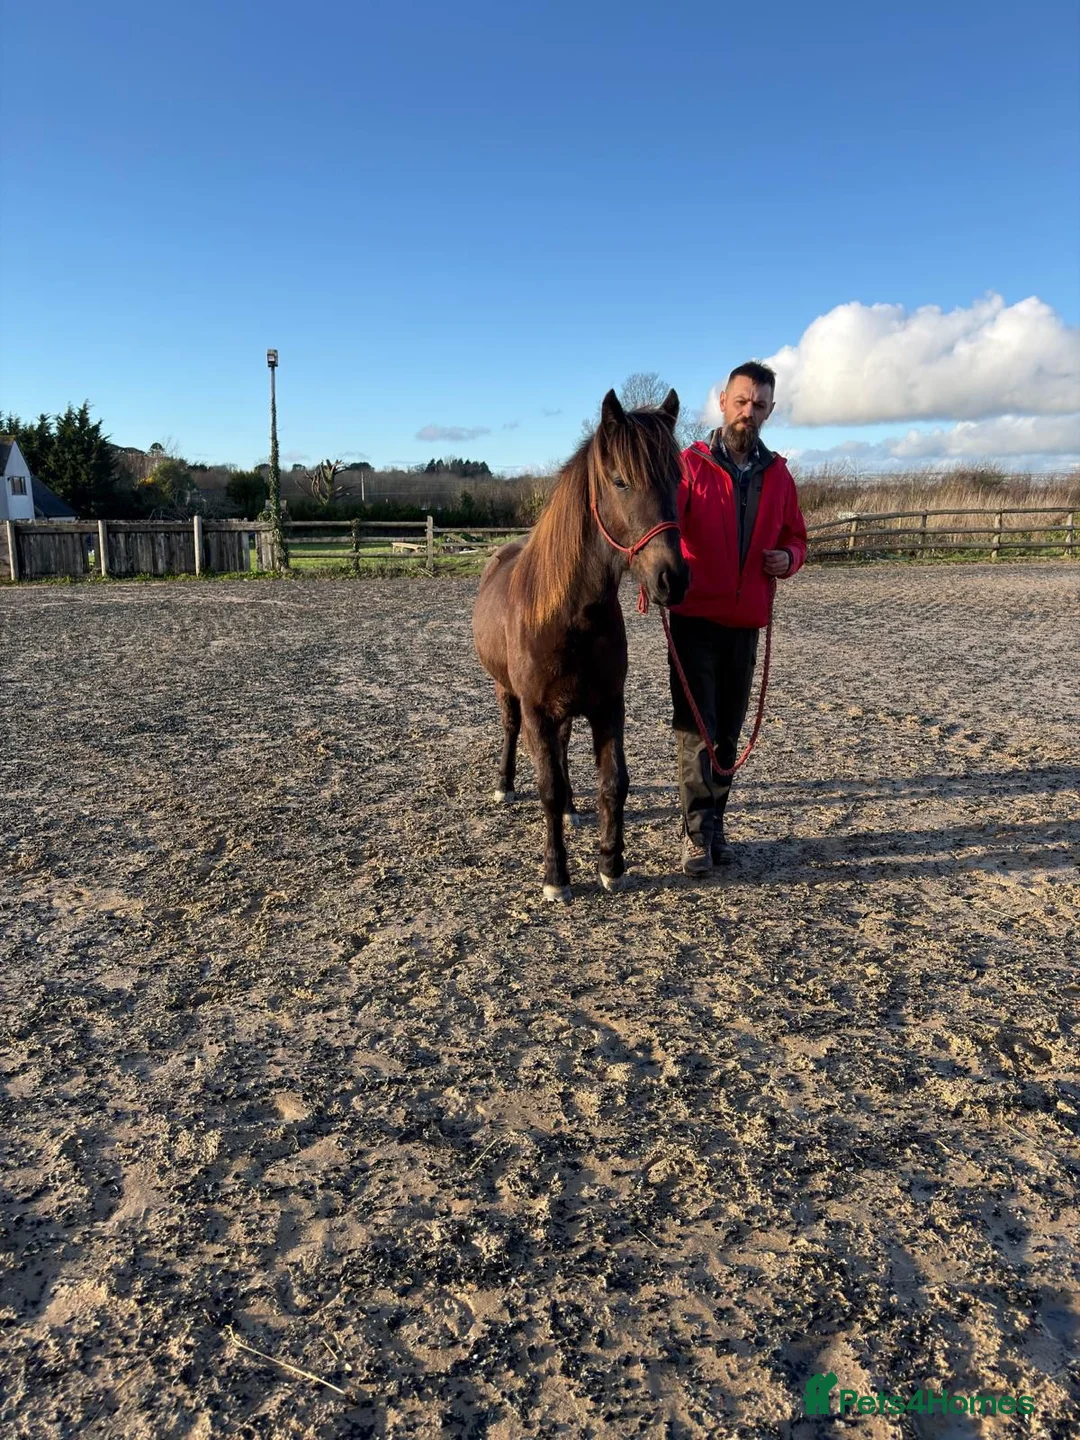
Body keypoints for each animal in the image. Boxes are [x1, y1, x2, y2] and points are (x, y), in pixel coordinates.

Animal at [472, 388, 689, 902]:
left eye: (678, 479)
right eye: (620, 481)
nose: (672, 578)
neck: (571, 615)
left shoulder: (608, 704)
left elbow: (614, 782)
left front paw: (612, 864)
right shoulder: (536, 708)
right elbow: (547, 786)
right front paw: (556, 876)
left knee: (565, 745)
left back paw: (573, 808)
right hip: (507, 692)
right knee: (511, 730)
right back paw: (505, 786)